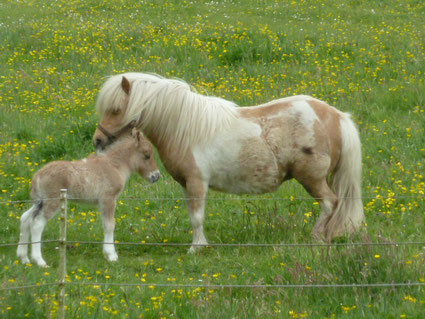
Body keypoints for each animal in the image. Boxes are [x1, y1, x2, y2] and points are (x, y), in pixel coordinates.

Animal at [16, 129, 159, 268]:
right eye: (147, 155)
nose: (156, 176)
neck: (114, 165)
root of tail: (38, 176)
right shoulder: (108, 199)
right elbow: (109, 225)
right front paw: (111, 255)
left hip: (39, 202)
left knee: (25, 219)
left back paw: (23, 258)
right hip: (52, 202)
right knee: (37, 223)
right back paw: (39, 261)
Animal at [93, 73, 364, 252]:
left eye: (116, 110)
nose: (97, 140)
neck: (186, 128)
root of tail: (337, 116)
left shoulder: (197, 183)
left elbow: (197, 217)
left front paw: (196, 248)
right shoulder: (187, 185)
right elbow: (193, 215)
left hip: (312, 178)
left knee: (330, 204)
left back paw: (317, 239)